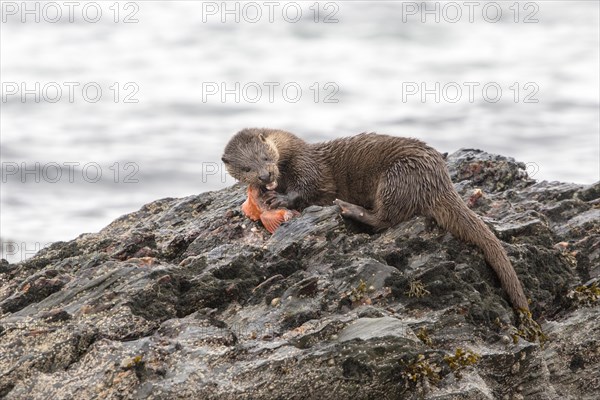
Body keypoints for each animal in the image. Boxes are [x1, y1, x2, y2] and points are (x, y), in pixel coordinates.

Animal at [224, 129, 528, 312]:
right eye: (247, 168)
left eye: (266, 157)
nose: (265, 176)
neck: (290, 154)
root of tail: (439, 180)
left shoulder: (307, 165)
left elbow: (308, 188)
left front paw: (281, 200)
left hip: (395, 177)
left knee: (385, 219)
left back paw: (349, 209)